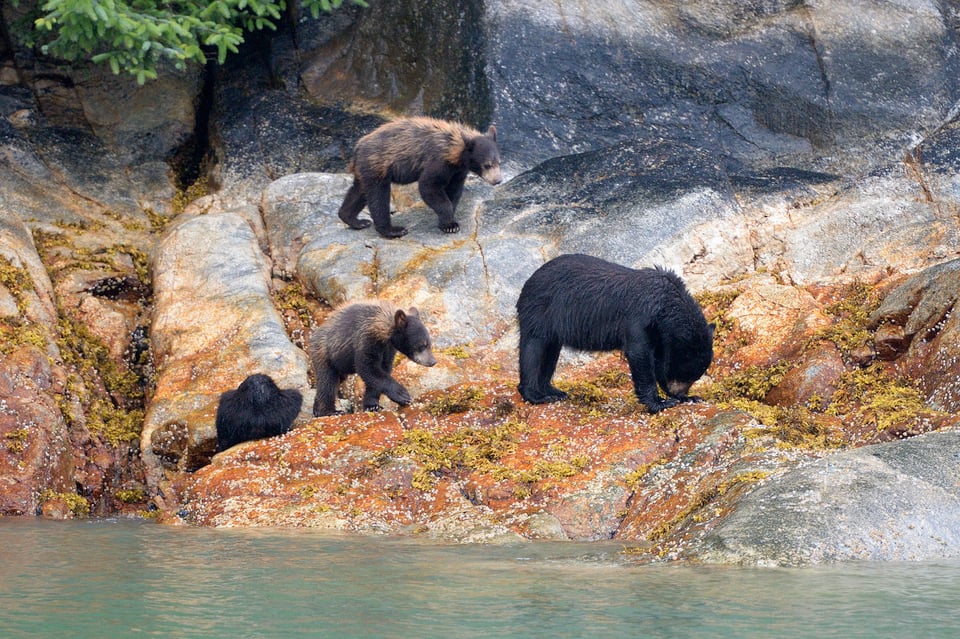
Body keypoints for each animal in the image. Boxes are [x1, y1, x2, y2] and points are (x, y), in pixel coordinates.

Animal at [338, 116, 502, 239]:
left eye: (499, 162)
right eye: (487, 165)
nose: (498, 180)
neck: (454, 150)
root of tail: (357, 148)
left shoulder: (458, 171)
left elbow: (454, 190)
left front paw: (448, 223)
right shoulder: (438, 162)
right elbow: (428, 185)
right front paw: (450, 224)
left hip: (366, 169)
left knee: (359, 191)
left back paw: (354, 220)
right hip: (377, 165)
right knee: (378, 196)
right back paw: (392, 230)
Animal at [516, 255, 712, 416]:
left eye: (694, 377)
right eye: (686, 375)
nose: (681, 393)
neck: (665, 304)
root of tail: (529, 281)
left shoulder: (660, 335)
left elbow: (658, 362)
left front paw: (689, 398)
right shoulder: (640, 317)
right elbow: (639, 354)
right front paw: (661, 403)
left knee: (550, 354)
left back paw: (553, 391)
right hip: (541, 312)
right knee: (533, 350)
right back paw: (536, 395)